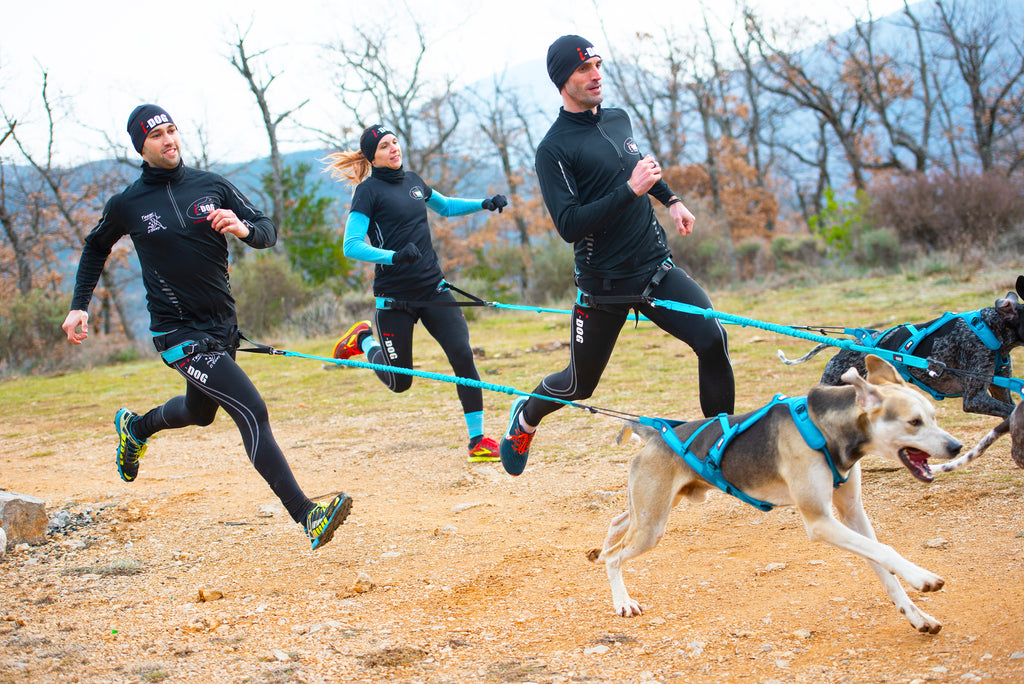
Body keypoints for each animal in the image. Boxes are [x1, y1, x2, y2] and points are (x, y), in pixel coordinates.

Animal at [589, 356, 962, 634]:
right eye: (914, 422)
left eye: (933, 416)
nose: (956, 447)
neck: (824, 429)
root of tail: (654, 432)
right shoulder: (820, 522)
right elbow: (886, 551)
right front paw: (924, 578)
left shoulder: (853, 515)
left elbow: (883, 565)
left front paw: (917, 616)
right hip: (652, 524)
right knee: (616, 557)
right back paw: (622, 600)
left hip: (655, 507)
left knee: (618, 521)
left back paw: (602, 548)